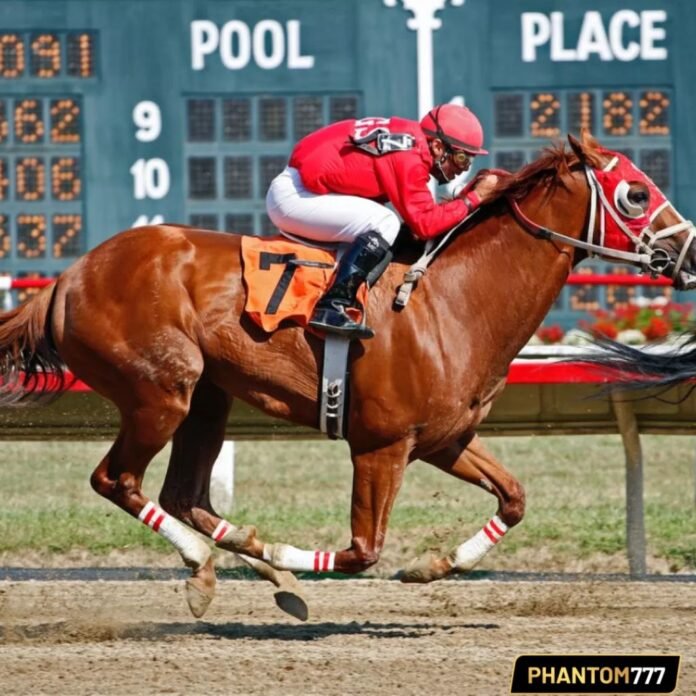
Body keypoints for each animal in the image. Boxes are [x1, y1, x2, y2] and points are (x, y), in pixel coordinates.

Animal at [1, 131, 695, 621]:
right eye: (635, 194)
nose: (688, 253)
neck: (451, 302)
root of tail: (68, 278)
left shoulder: (444, 440)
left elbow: (515, 498)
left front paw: (433, 566)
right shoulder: (380, 446)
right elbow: (364, 551)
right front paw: (294, 559)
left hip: (207, 397)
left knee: (183, 495)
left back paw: (252, 564)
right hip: (160, 392)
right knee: (116, 480)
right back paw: (215, 566)